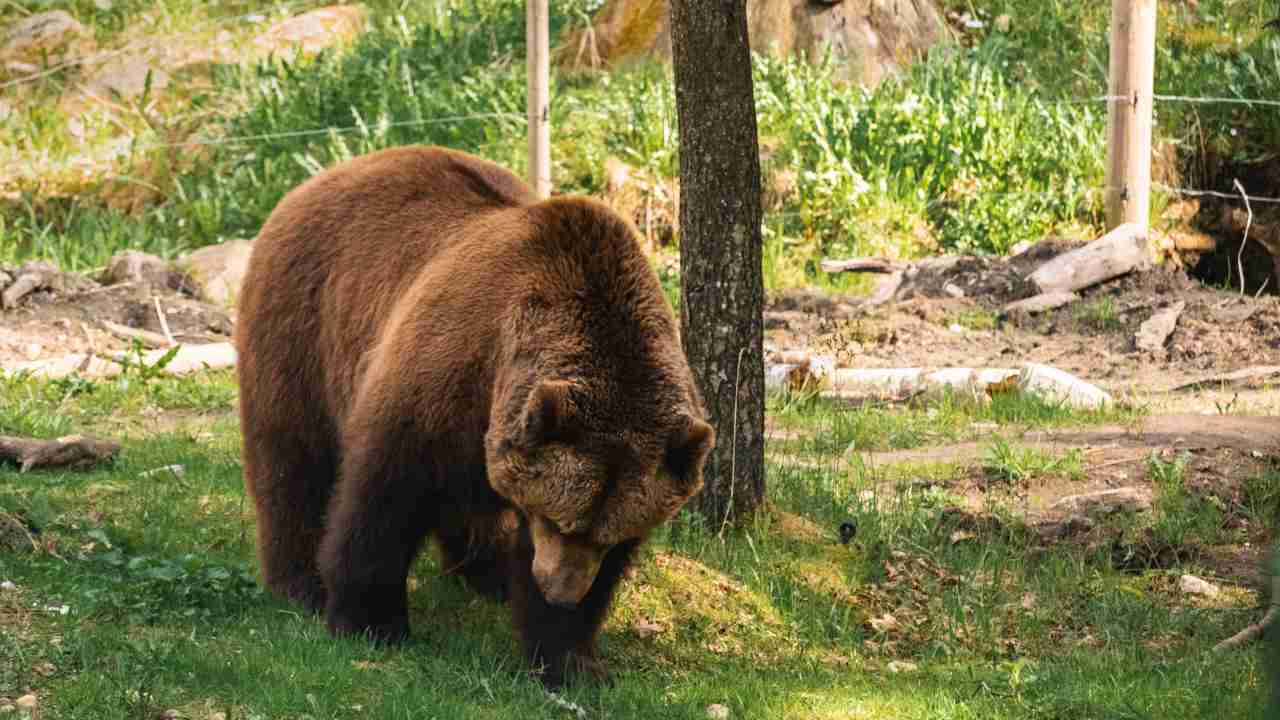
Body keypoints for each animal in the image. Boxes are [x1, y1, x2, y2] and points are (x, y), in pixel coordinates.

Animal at [235, 144, 716, 681]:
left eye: (605, 536)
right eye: (560, 521)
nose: (561, 592)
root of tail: (321, 178)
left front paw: (572, 658)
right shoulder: (442, 379)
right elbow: (382, 499)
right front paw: (369, 620)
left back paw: (487, 573)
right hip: (302, 328)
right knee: (291, 462)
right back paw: (298, 581)